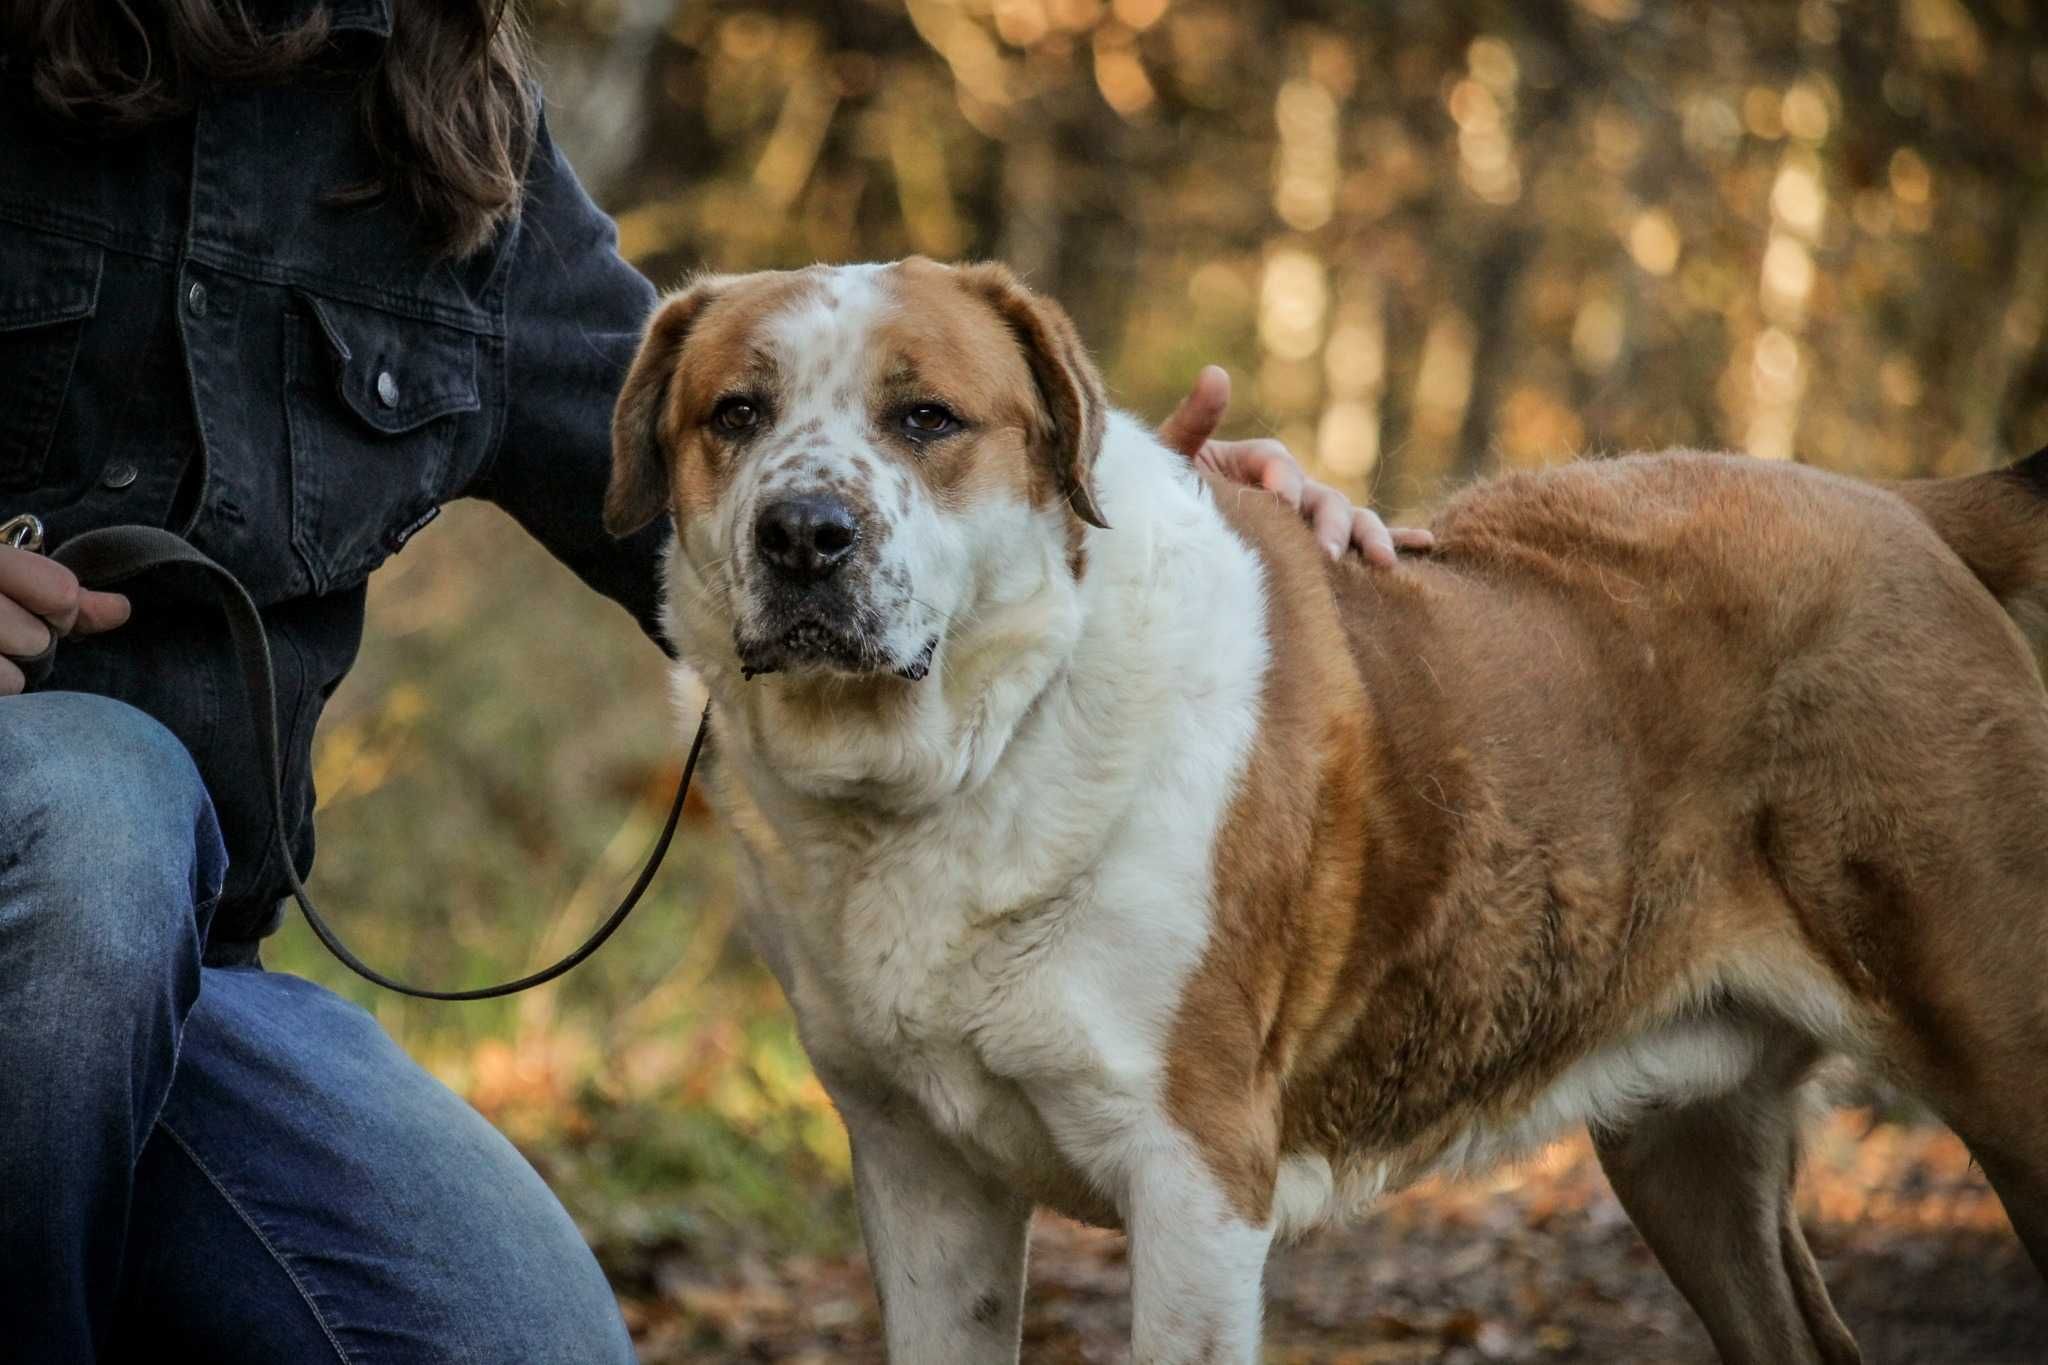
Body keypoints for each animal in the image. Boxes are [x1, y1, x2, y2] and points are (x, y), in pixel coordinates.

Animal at [598, 258, 2048, 1365]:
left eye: (926, 419)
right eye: (734, 412)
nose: (803, 533)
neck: (967, 754)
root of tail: (1904, 508)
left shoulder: (1194, 1179)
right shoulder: (921, 1178)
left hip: (2003, 1054)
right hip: (1684, 1142)